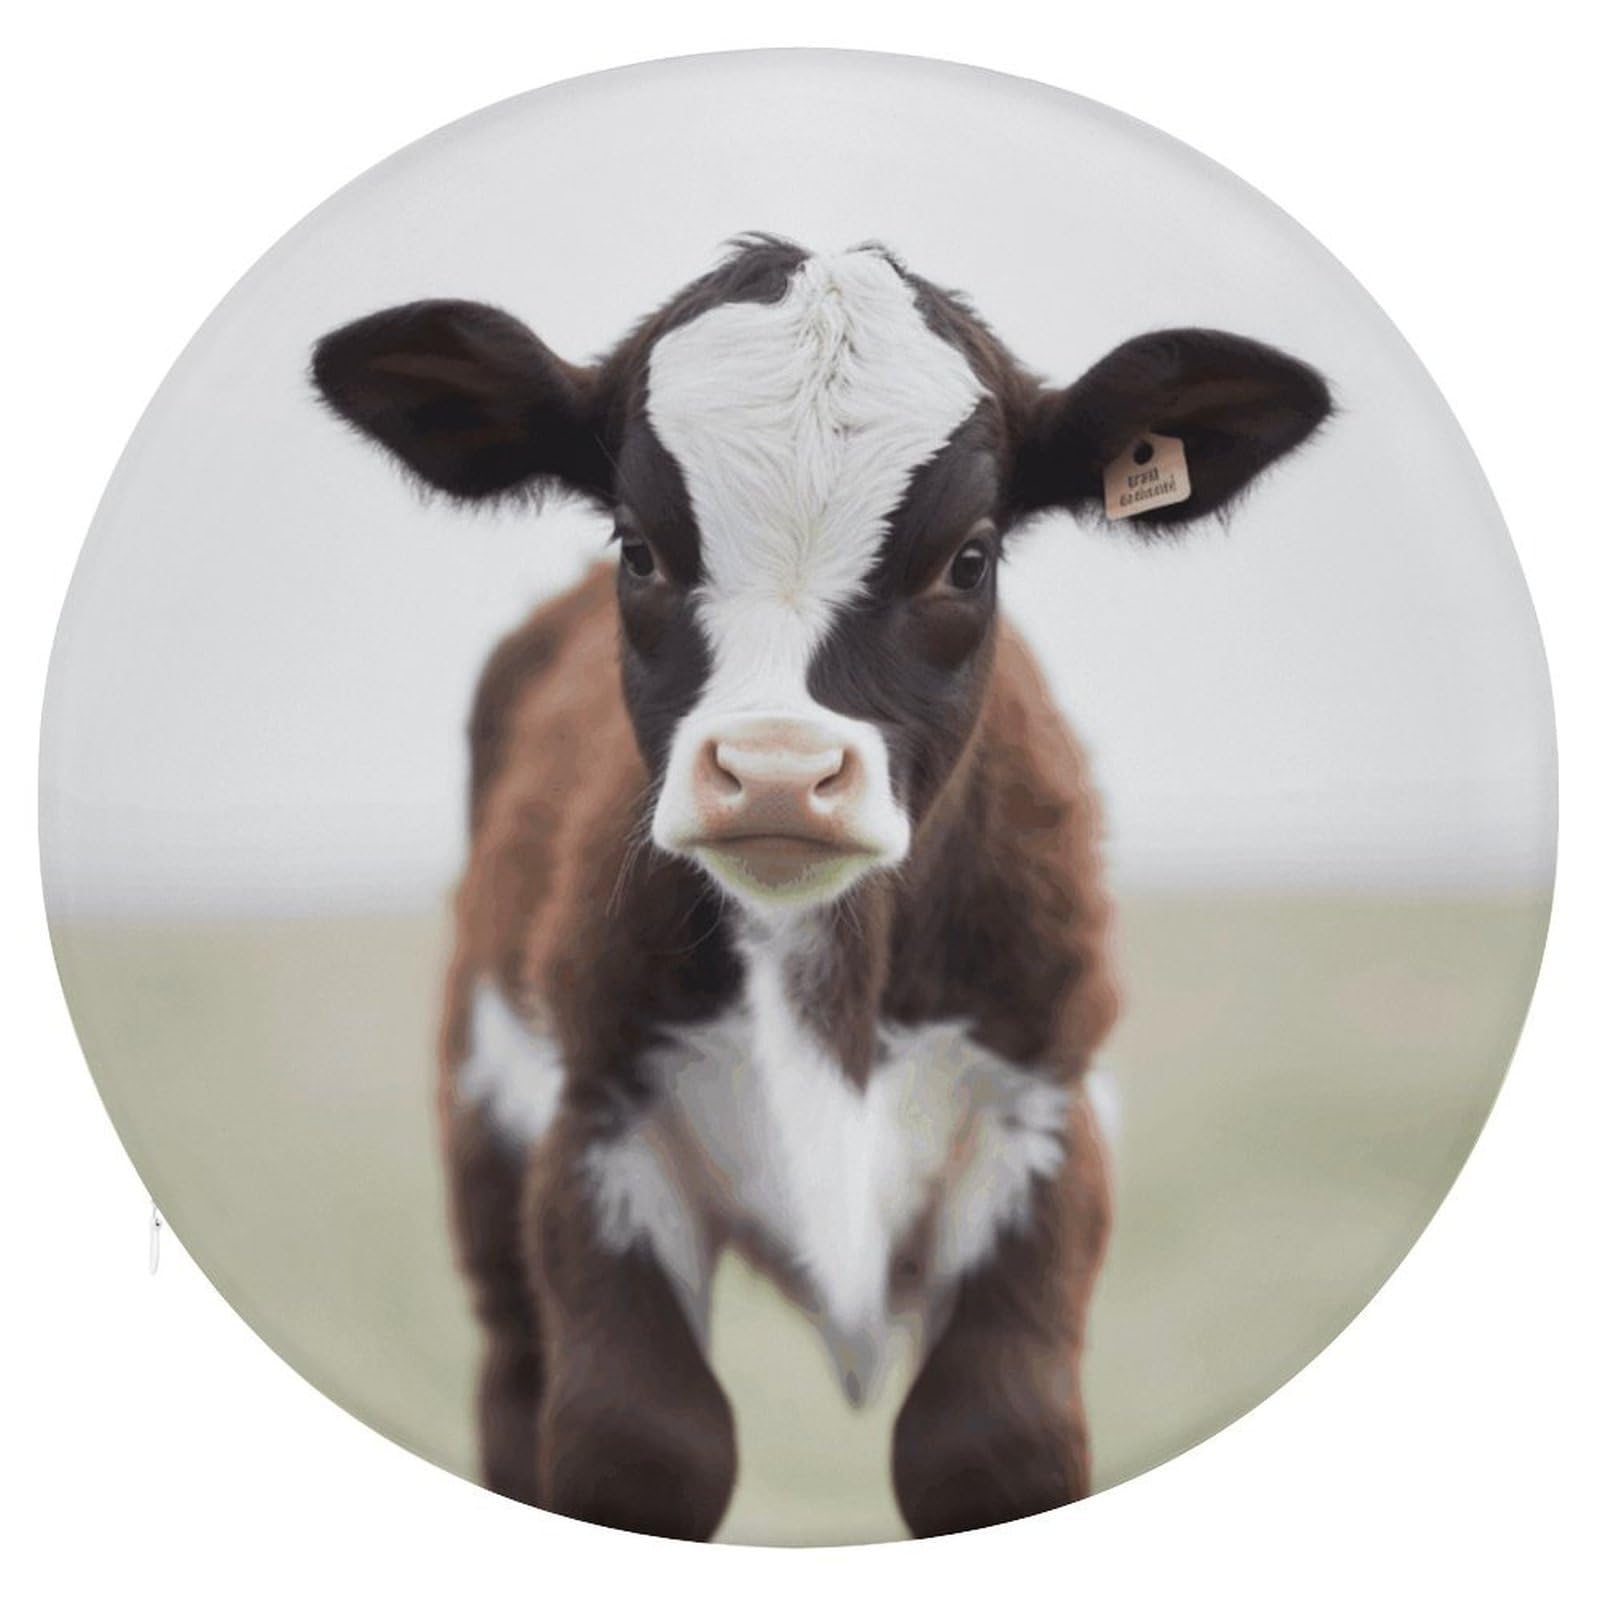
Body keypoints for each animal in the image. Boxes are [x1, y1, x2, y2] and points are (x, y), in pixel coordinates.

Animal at [311, 235, 1330, 1541]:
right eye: (638, 547)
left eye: (969, 556)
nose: (778, 771)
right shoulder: (597, 1130)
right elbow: (643, 1440)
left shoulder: (1044, 1121)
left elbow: (988, 1440)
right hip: (486, 1143)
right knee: (513, 1372)